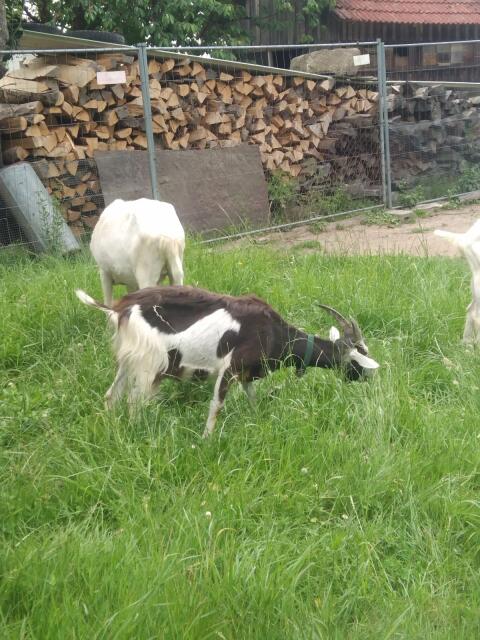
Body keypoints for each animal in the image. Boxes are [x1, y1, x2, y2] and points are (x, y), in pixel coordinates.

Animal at [76, 285, 379, 437]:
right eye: (359, 356)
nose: (372, 377)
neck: (274, 332)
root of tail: (119, 308)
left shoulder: (247, 374)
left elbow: (253, 398)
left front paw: (257, 420)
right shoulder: (229, 368)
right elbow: (216, 406)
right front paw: (206, 441)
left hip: (129, 361)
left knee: (111, 396)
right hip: (150, 364)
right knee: (134, 404)